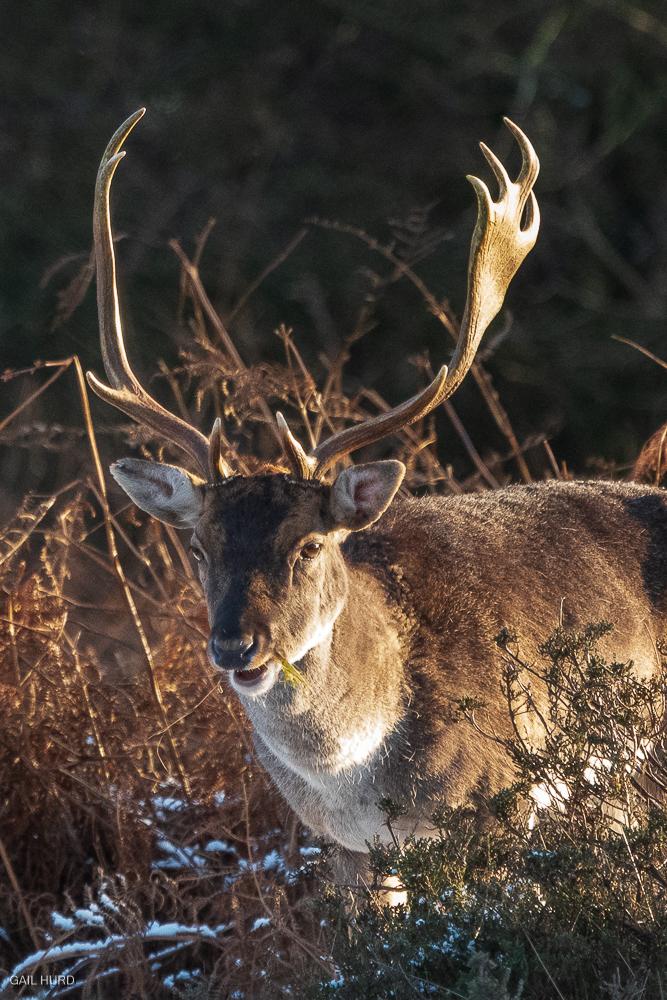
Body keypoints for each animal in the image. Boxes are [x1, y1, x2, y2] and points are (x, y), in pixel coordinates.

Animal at [86, 110, 667, 890]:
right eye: (198, 545)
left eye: (309, 544)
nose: (235, 644)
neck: (358, 773)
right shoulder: (349, 848)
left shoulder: (503, 807)